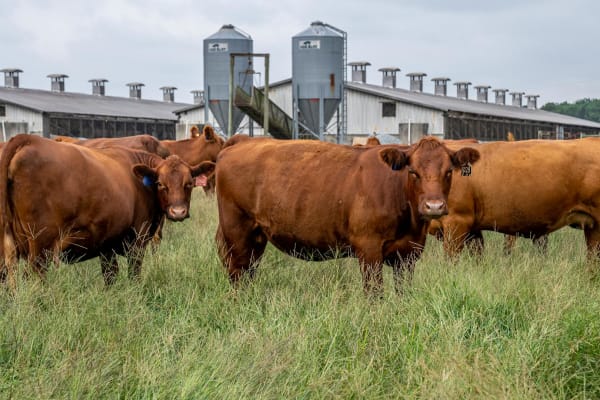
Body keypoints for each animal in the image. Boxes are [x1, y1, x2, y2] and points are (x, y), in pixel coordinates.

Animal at [0, 134, 216, 288]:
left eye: (189, 184)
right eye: (161, 184)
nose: (178, 212)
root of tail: (26, 139)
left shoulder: (106, 244)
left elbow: (110, 275)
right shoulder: (137, 240)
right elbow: (134, 275)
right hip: (40, 246)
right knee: (35, 277)